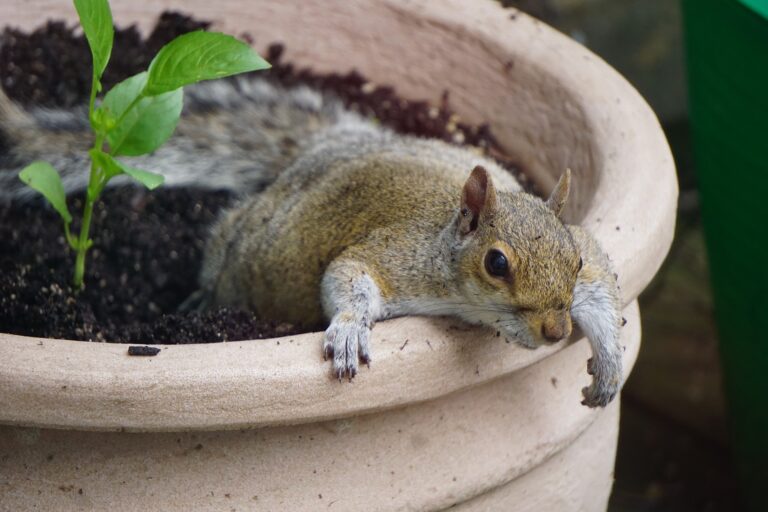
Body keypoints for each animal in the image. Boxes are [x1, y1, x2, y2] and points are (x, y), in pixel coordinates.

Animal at [0, 74, 624, 408]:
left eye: (570, 260)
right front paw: (349, 329)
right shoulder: (395, 256)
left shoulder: (586, 251)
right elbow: (347, 276)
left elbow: (602, 286)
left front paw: (610, 361)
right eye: (497, 263)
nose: (555, 331)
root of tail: (325, 150)